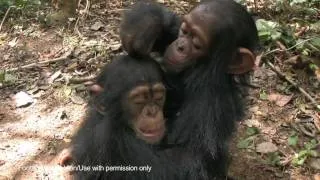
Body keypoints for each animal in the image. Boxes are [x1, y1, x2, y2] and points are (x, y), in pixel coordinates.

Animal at [119, 0, 262, 179]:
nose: (180, 46)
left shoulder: (208, 108)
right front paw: (144, 27)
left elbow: (187, 159)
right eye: (185, 31)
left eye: (197, 45)